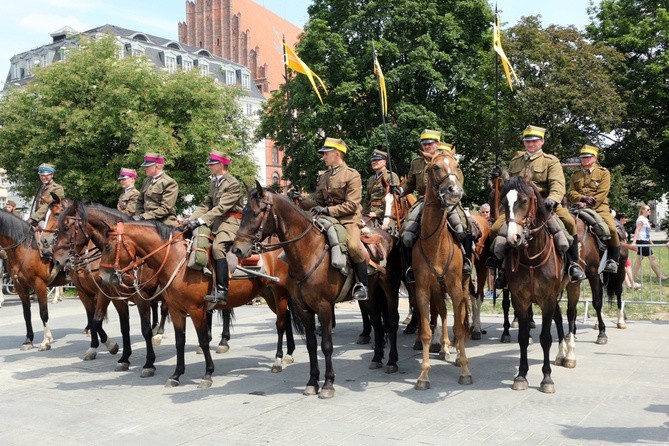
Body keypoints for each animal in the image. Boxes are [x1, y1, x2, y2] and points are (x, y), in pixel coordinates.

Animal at [0, 207, 68, 350]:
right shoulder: (20, 287)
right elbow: (26, 314)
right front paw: (28, 340)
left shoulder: (39, 285)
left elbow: (43, 313)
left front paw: (46, 341)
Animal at [98, 218, 296, 386]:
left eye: (107, 246)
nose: (102, 277)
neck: (177, 261)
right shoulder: (176, 310)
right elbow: (180, 341)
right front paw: (176, 374)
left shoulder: (196, 310)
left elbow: (203, 340)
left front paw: (208, 374)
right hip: (269, 294)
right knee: (286, 318)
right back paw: (289, 353)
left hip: (280, 292)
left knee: (280, 324)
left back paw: (278, 360)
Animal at [230, 183, 402, 398]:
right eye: (243, 212)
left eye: (255, 213)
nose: (237, 250)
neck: (308, 251)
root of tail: (387, 234)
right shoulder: (304, 308)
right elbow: (311, 344)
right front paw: (312, 381)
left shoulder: (324, 307)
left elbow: (326, 345)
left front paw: (328, 384)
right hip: (369, 295)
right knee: (377, 323)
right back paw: (377, 358)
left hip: (389, 288)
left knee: (392, 322)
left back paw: (392, 361)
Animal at [410, 151, 472, 390]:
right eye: (435, 167)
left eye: (457, 165)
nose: (454, 190)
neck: (436, 243)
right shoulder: (422, 290)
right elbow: (427, 332)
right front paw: (423, 375)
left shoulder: (455, 287)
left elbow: (460, 328)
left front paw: (465, 370)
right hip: (437, 290)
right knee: (444, 314)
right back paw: (445, 347)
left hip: (462, 287)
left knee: (460, 316)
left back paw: (455, 354)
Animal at [498, 176, 568, 392]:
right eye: (504, 203)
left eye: (524, 201)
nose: (513, 238)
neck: (531, 260)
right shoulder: (520, 299)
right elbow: (522, 337)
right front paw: (521, 375)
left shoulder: (548, 299)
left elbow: (545, 338)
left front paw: (547, 378)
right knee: (559, 317)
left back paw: (567, 354)